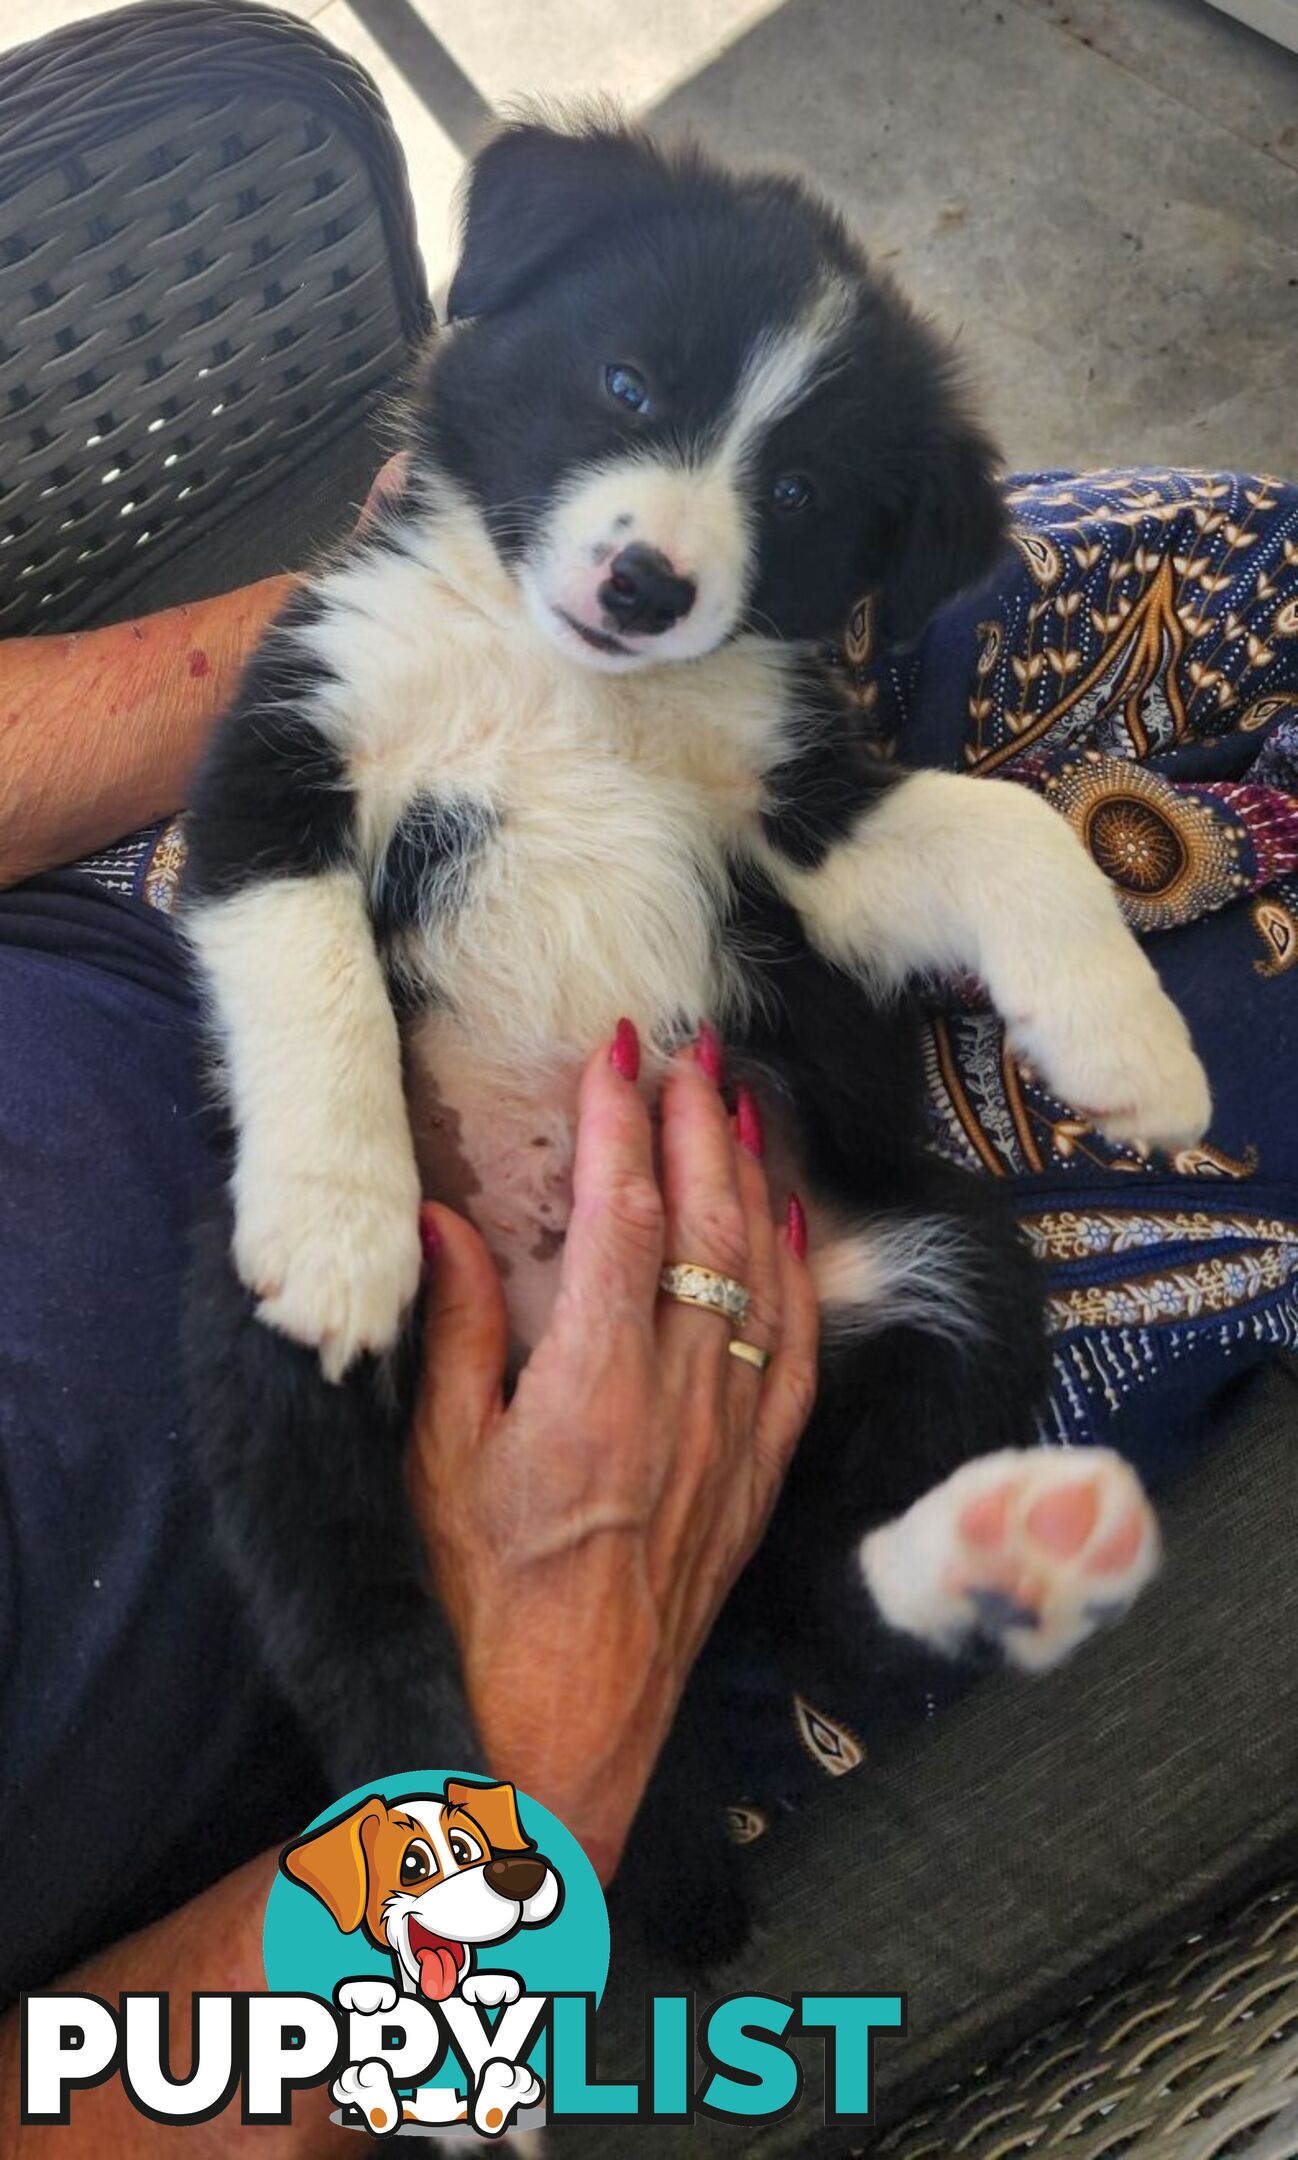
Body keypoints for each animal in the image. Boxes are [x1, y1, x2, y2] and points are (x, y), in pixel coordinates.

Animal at [177, 118, 1209, 1969]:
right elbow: (306, 973)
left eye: (793, 495)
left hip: (942, 1269)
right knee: (360, 1636)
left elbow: (1006, 827)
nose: (647, 581)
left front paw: (1131, 1052)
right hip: (250, 1370)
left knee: (814, 1593)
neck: (563, 679)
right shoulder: (284, 751)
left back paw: (1002, 1549)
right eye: (623, 380)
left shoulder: (797, 825)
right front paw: (342, 1227)